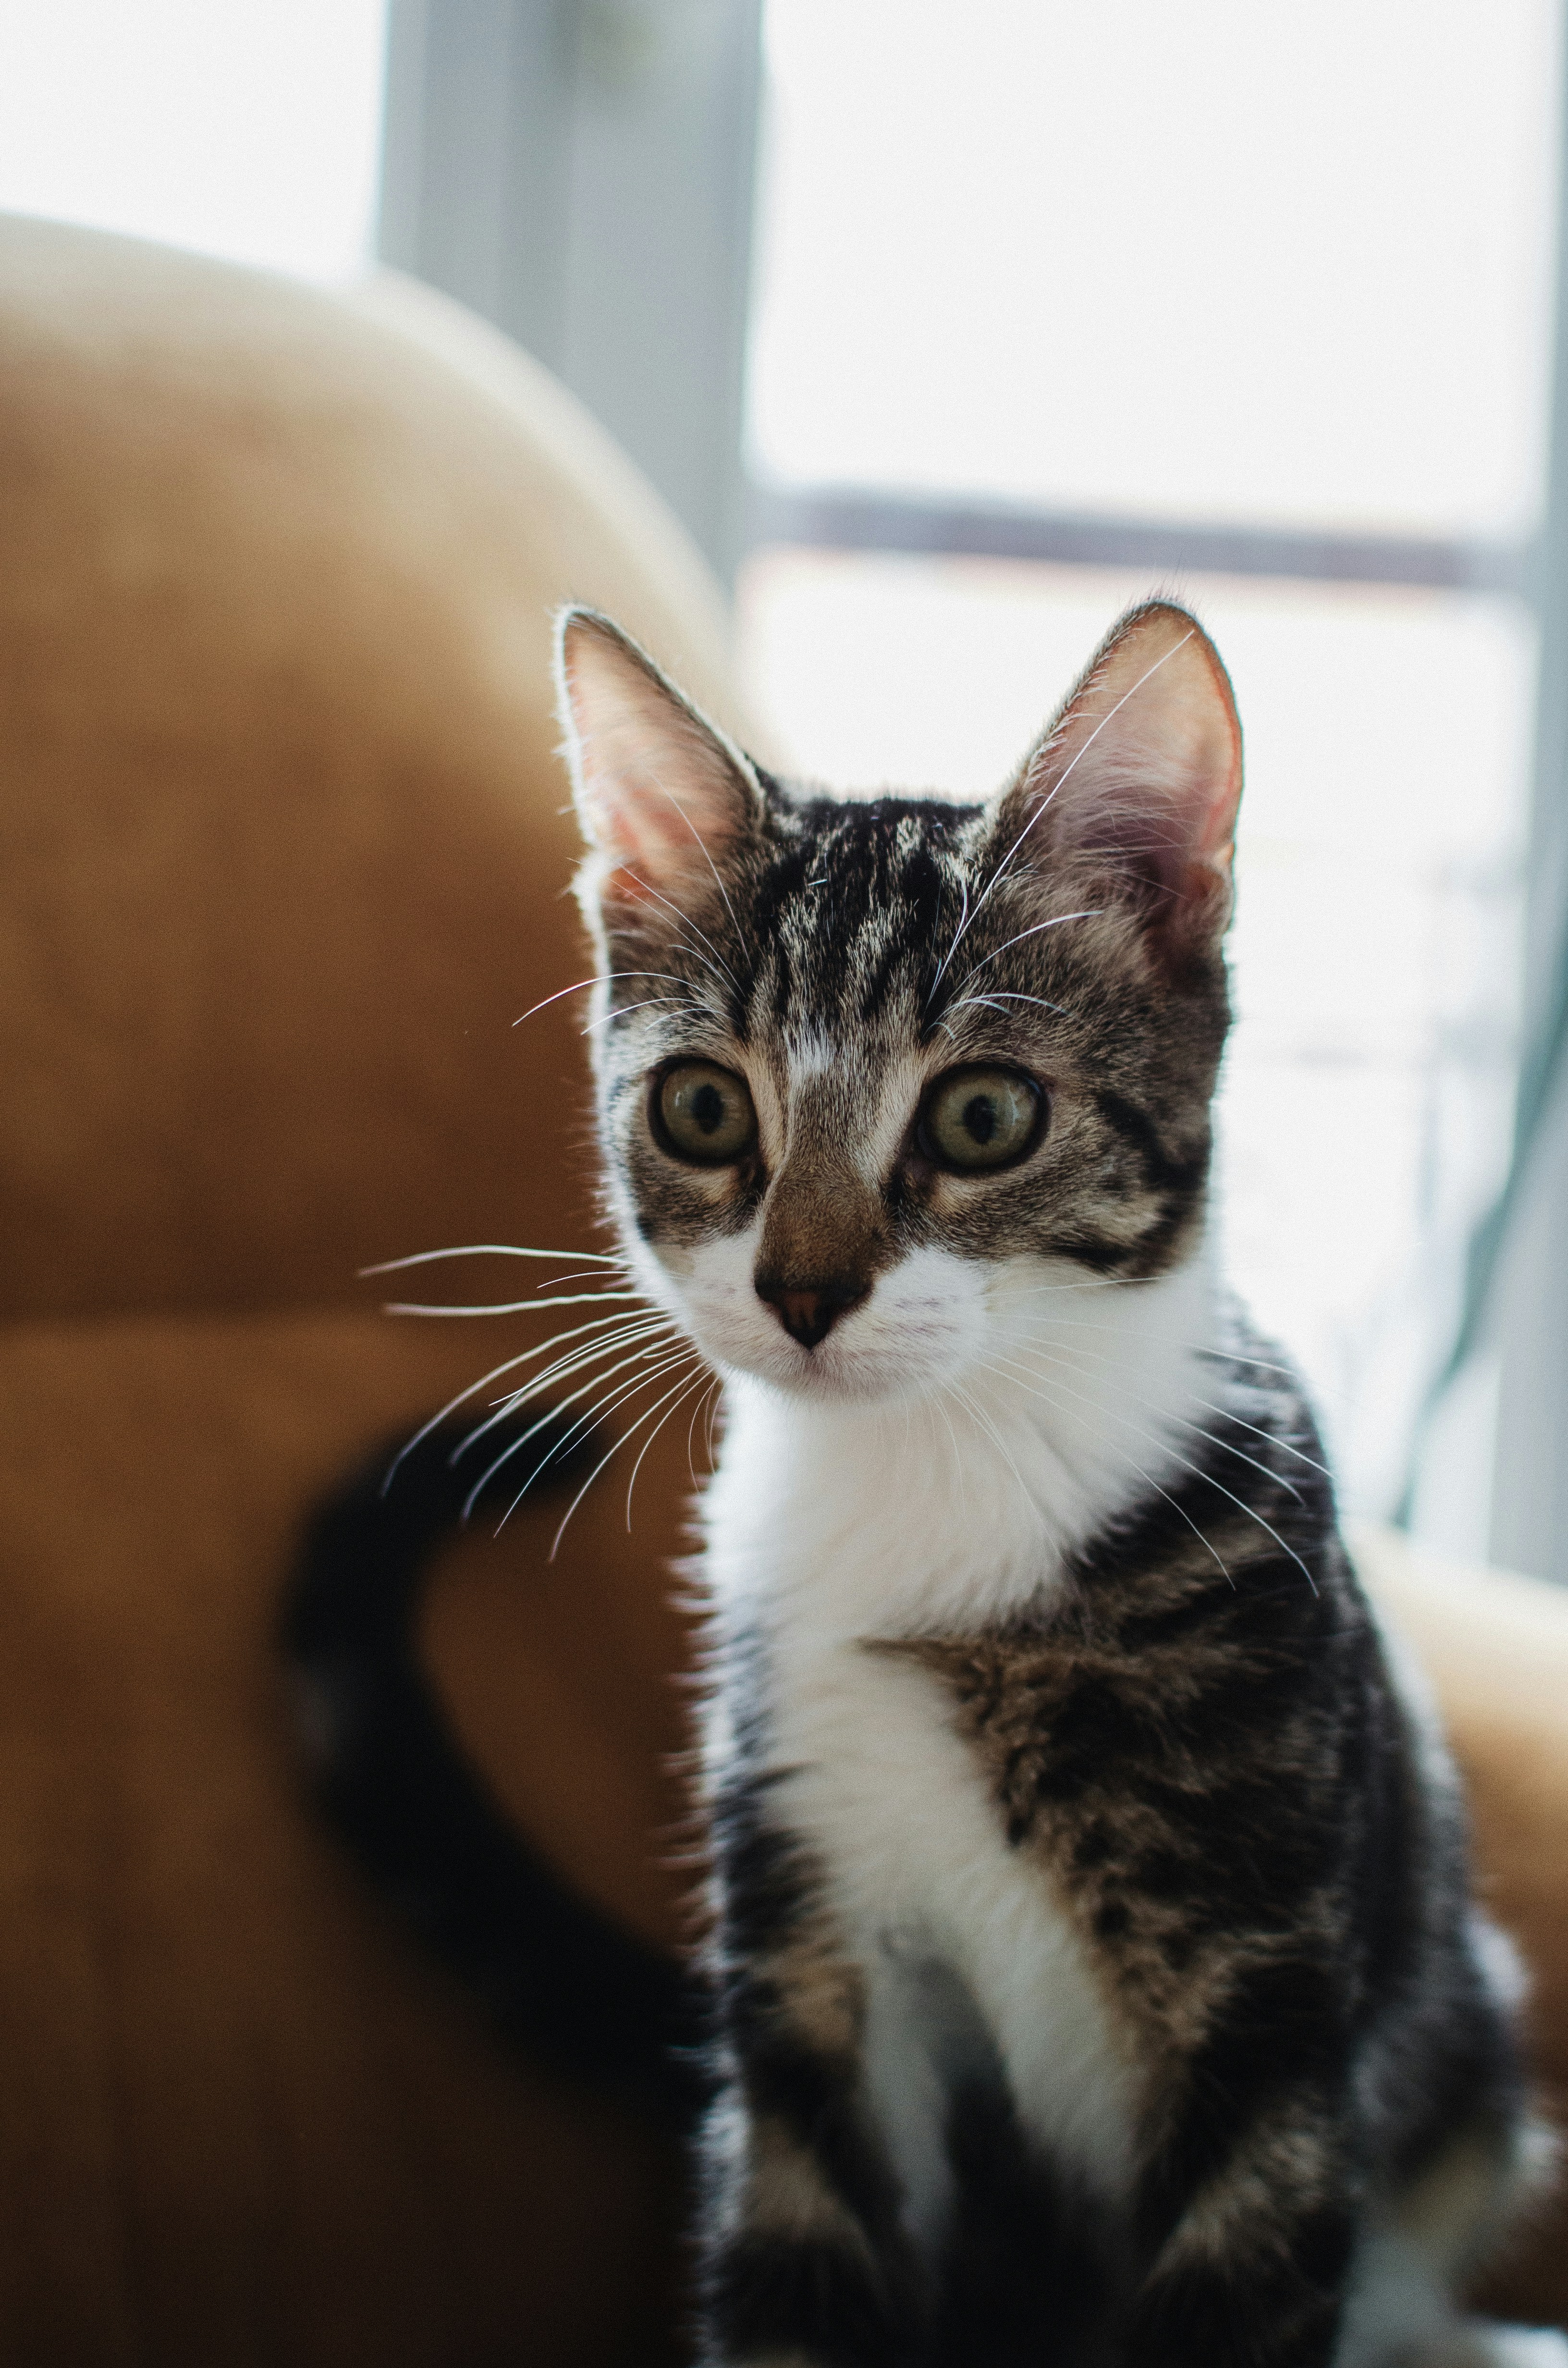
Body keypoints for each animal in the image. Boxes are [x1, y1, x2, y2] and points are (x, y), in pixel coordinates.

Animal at [556, 601, 1563, 2358]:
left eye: (982, 1114)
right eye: (701, 1106)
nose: (803, 1291)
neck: (944, 1465)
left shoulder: (1263, 2004)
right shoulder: (805, 1939)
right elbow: (799, 2246)